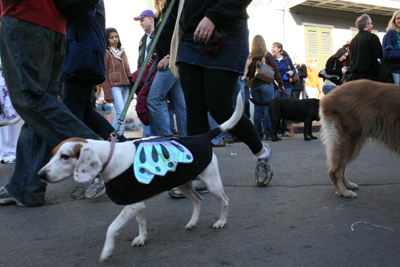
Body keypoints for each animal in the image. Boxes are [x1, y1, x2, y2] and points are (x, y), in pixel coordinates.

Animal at [38, 94, 244, 262]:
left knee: (224, 201)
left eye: (65, 156)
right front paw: (142, 238)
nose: (41, 174)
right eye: (52, 154)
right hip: (184, 184)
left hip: (212, 183)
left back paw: (221, 222)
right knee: (198, 200)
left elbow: (112, 228)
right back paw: (192, 222)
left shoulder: (132, 205)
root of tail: (202, 136)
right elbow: (141, 222)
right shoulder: (135, 202)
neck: (110, 156)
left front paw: (107, 251)